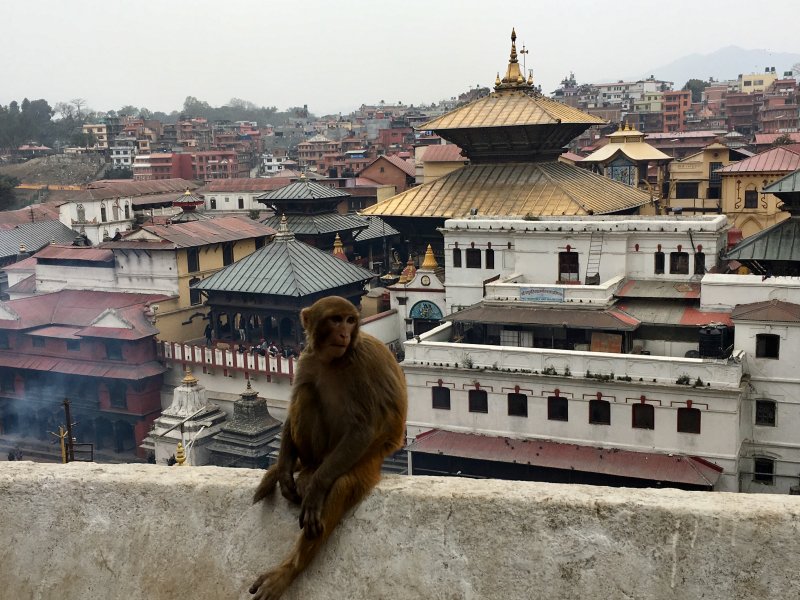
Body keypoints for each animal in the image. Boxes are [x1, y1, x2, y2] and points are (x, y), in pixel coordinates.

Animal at [250, 296, 408, 600]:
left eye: (350, 320)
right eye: (335, 320)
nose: (345, 334)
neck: (334, 359)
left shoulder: (361, 363)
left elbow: (363, 427)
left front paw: (315, 492)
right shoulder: (306, 359)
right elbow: (293, 404)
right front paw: (284, 472)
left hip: (361, 458)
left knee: (342, 484)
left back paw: (289, 569)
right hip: (322, 451)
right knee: (307, 393)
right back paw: (303, 469)